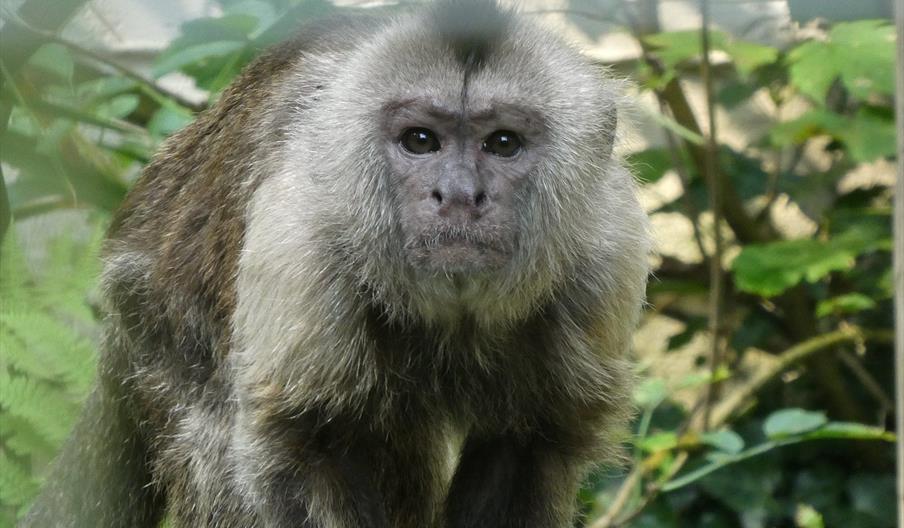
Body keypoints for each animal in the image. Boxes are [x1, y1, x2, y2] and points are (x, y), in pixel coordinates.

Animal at [22, 1, 651, 527]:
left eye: (502, 143)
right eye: (420, 140)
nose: (457, 195)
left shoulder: (606, 254)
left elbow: (526, 445)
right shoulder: (300, 237)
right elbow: (302, 451)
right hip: (153, 312)